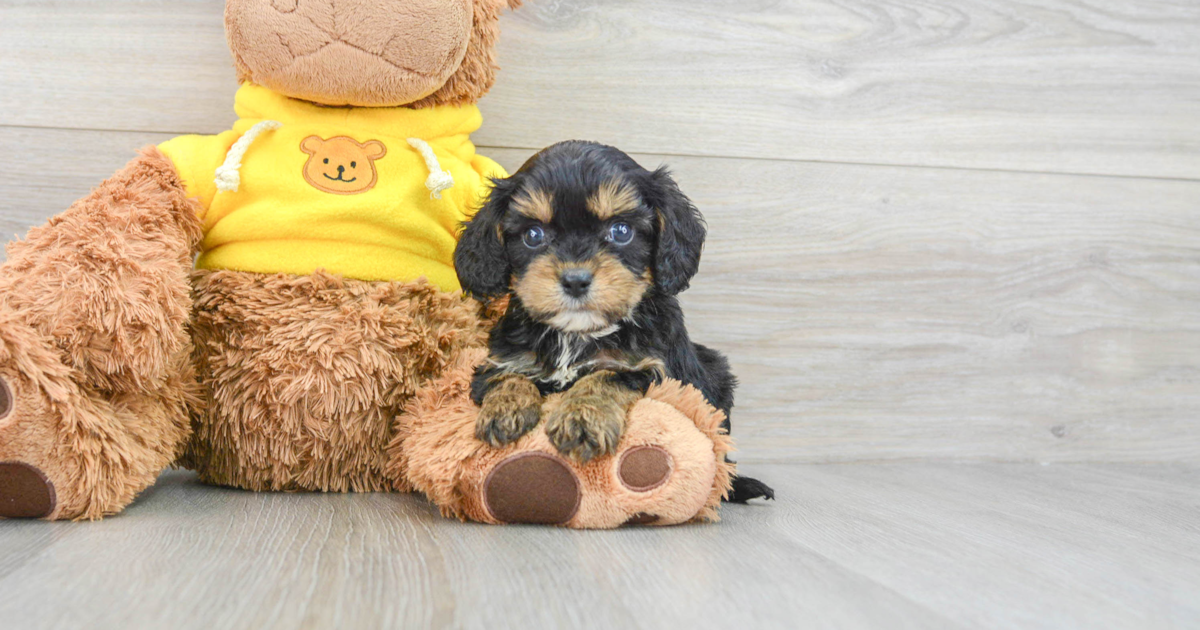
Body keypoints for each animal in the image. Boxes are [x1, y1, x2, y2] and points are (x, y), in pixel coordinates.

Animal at [453, 138, 772, 501]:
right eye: (533, 235)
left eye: (621, 231)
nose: (575, 280)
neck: (577, 335)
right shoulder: (499, 359)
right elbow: (506, 376)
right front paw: (504, 409)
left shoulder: (659, 371)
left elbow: (607, 375)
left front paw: (581, 419)